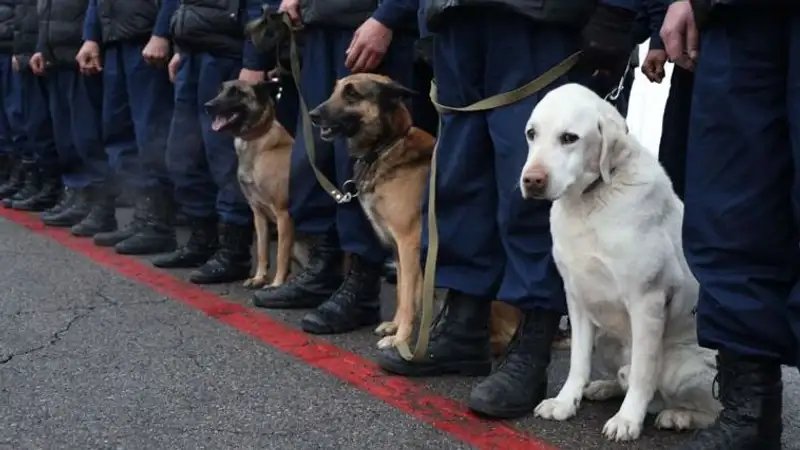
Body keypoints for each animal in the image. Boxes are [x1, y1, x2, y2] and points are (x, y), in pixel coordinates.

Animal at [205, 80, 308, 288]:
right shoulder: (258, 213)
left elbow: (280, 254)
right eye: (220, 90)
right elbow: (261, 251)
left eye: (237, 92)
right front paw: (259, 278)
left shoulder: (284, 215)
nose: (208, 106)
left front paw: (275, 285)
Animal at [306, 74, 520, 354]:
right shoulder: (397, 249)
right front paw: (396, 328)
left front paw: (401, 340)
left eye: (352, 94)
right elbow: (401, 294)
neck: (387, 145)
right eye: (335, 91)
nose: (312, 115)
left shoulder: (408, 243)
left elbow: (408, 298)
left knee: (497, 337)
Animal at [520, 82, 720, 442]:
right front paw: (565, 402)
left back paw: (680, 415)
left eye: (569, 138)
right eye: (532, 133)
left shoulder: (647, 302)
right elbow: (578, 362)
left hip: (680, 367)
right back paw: (604, 386)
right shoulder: (577, 298)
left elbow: (642, 372)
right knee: (623, 375)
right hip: (607, 339)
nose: (532, 180)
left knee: (710, 408)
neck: (590, 201)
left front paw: (628, 420)